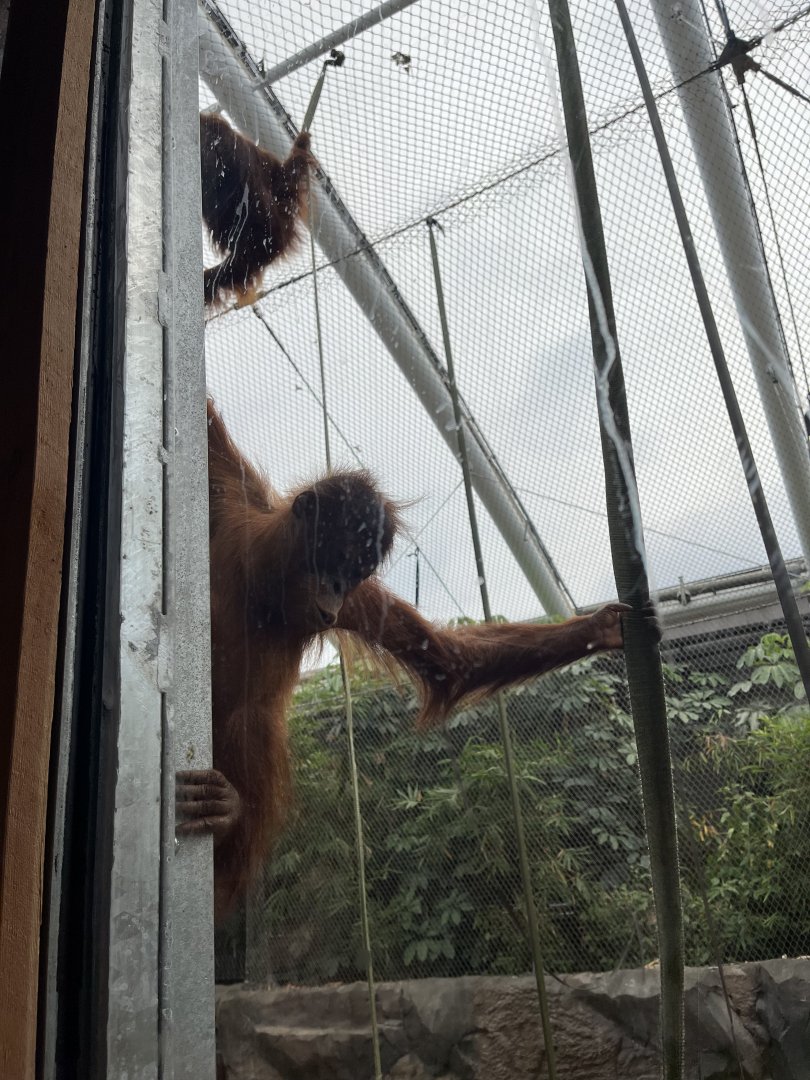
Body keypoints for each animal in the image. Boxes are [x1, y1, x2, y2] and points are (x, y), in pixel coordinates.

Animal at [176, 401, 644, 922]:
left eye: (354, 572)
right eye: (336, 559)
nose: (335, 590)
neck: (264, 583)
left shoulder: (357, 602)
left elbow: (445, 658)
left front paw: (598, 629)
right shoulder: (230, 499)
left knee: (251, 721)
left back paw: (227, 815)